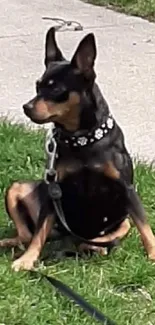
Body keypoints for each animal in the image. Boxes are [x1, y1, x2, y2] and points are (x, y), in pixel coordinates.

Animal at [1, 28, 155, 270]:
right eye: (37, 85)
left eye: (56, 89)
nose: (26, 107)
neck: (83, 139)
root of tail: (66, 236)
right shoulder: (54, 190)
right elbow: (38, 234)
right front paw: (26, 260)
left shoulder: (127, 189)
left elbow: (145, 227)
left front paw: (153, 254)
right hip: (17, 188)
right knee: (28, 234)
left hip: (121, 222)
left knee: (104, 237)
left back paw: (94, 246)